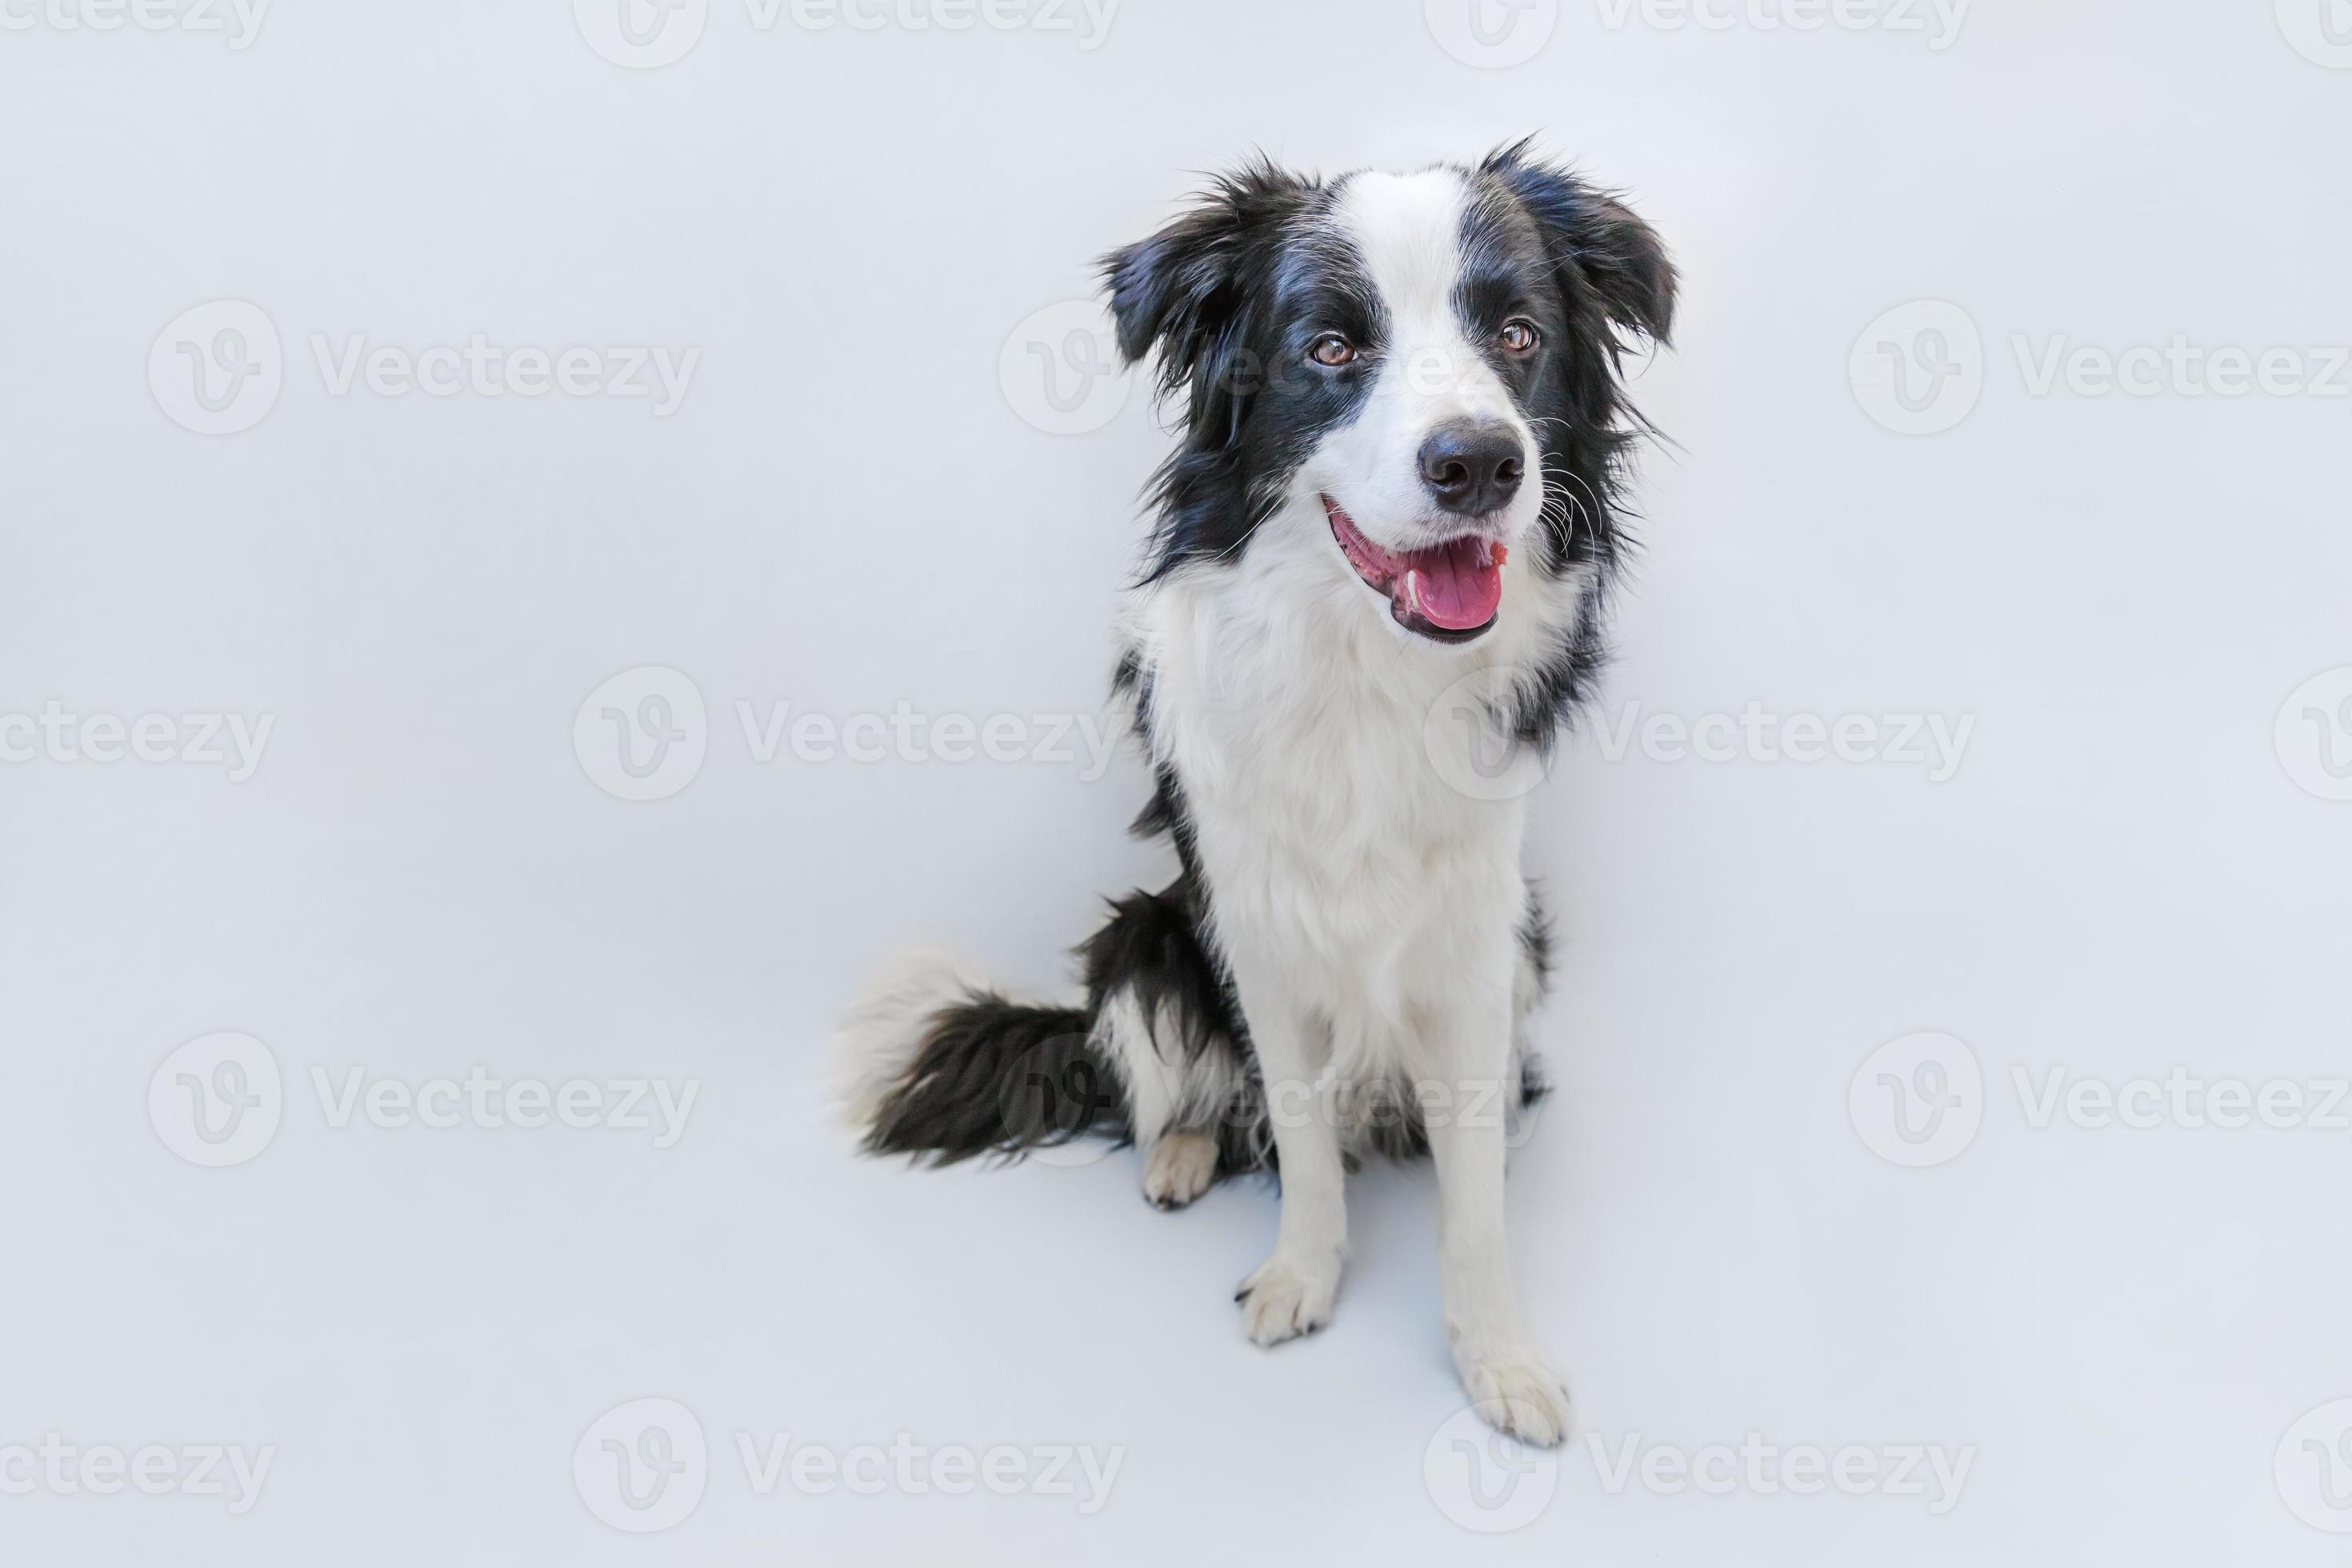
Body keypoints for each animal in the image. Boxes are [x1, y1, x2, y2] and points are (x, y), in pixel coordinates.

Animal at [827, 141, 1674, 1438]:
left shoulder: (1476, 945)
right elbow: (1299, 1131)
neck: (1369, 669)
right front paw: (1300, 1278)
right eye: (1329, 348)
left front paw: (1496, 1359)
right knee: (1187, 1089)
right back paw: (1180, 1155)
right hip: (1144, 938)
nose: (1479, 462)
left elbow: (1472, 1200)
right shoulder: (1259, 933)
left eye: (1519, 335)